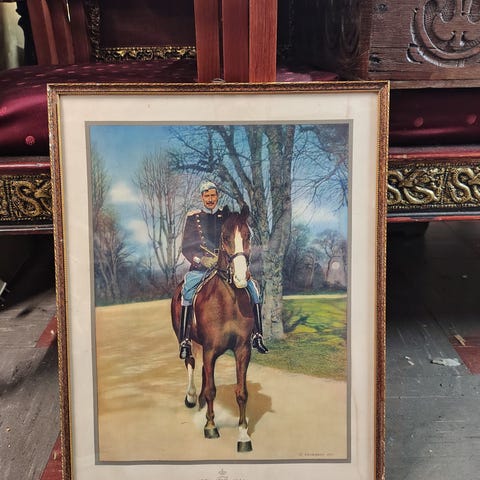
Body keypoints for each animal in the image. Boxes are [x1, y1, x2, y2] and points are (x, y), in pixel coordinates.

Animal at [171, 204, 255, 452]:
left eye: (248, 235)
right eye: (225, 236)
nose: (241, 277)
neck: (229, 301)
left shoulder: (242, 350)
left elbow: (241, 393)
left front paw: (243, 435)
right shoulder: (209, 350)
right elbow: (211, 390)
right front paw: (210, 427)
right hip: (186, 340)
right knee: (190, 363)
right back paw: (191, 397)